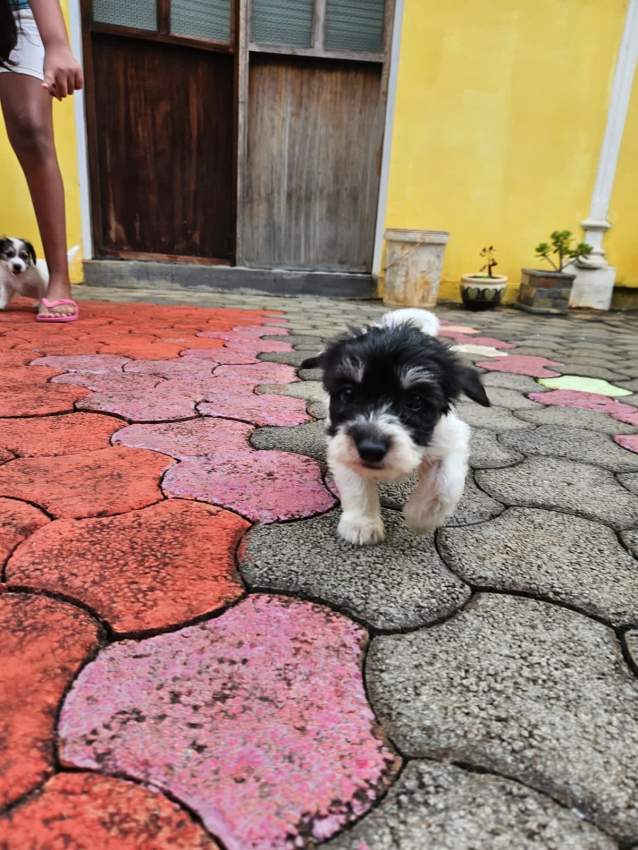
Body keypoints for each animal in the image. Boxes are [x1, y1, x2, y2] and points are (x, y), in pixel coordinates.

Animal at [302, 310, 492, 544]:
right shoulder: (339, 445)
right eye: (348, 393)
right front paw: (361, 523)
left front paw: (421, 517)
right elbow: (356, 484)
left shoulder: (451, 439)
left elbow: (445, 485)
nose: (370, 449)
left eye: (416, 401)